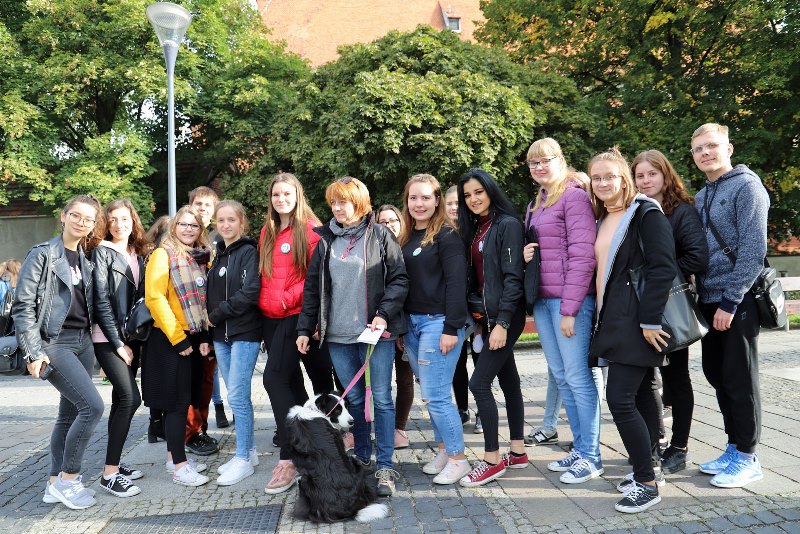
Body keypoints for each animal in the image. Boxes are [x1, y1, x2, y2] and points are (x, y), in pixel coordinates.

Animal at [285, 392, 389, 523]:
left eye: (346, 406)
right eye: (337, 410)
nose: (352, 421)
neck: (314, 409)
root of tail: (351, 510)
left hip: (306, 479)